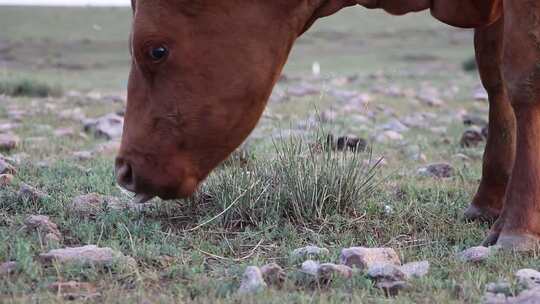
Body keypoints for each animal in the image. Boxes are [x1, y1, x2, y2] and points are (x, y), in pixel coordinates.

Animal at [116, 0, 540, 252]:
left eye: (156, 50)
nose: (124, 170)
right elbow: (494, 77)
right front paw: (488, 203)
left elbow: (523, 78)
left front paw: (517, 228)